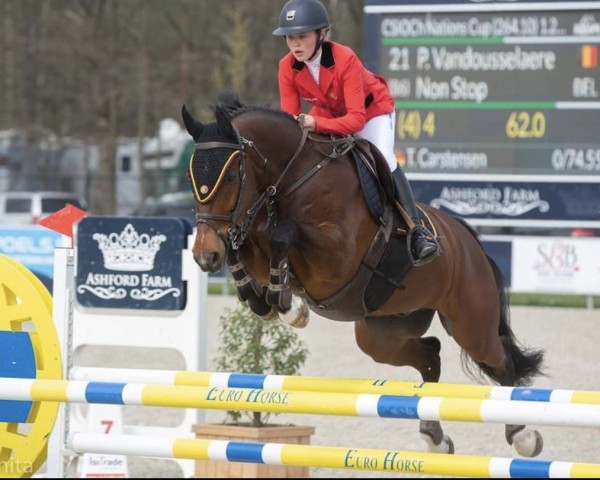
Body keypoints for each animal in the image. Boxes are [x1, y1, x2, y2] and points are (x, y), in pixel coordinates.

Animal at [180, 93, 548, 458]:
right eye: (190, 176)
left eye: (230, 177)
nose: (203, 255)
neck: (294, 177)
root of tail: (467, 238)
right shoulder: (255, 236)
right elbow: (245, 249)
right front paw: (267, 299)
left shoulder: (336, 257)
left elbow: (283, 234)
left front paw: (290, 308)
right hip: (382, 332)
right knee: (431, 354)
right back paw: (435, 437)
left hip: (471, 325)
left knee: (501, 361)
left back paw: (524, 436)